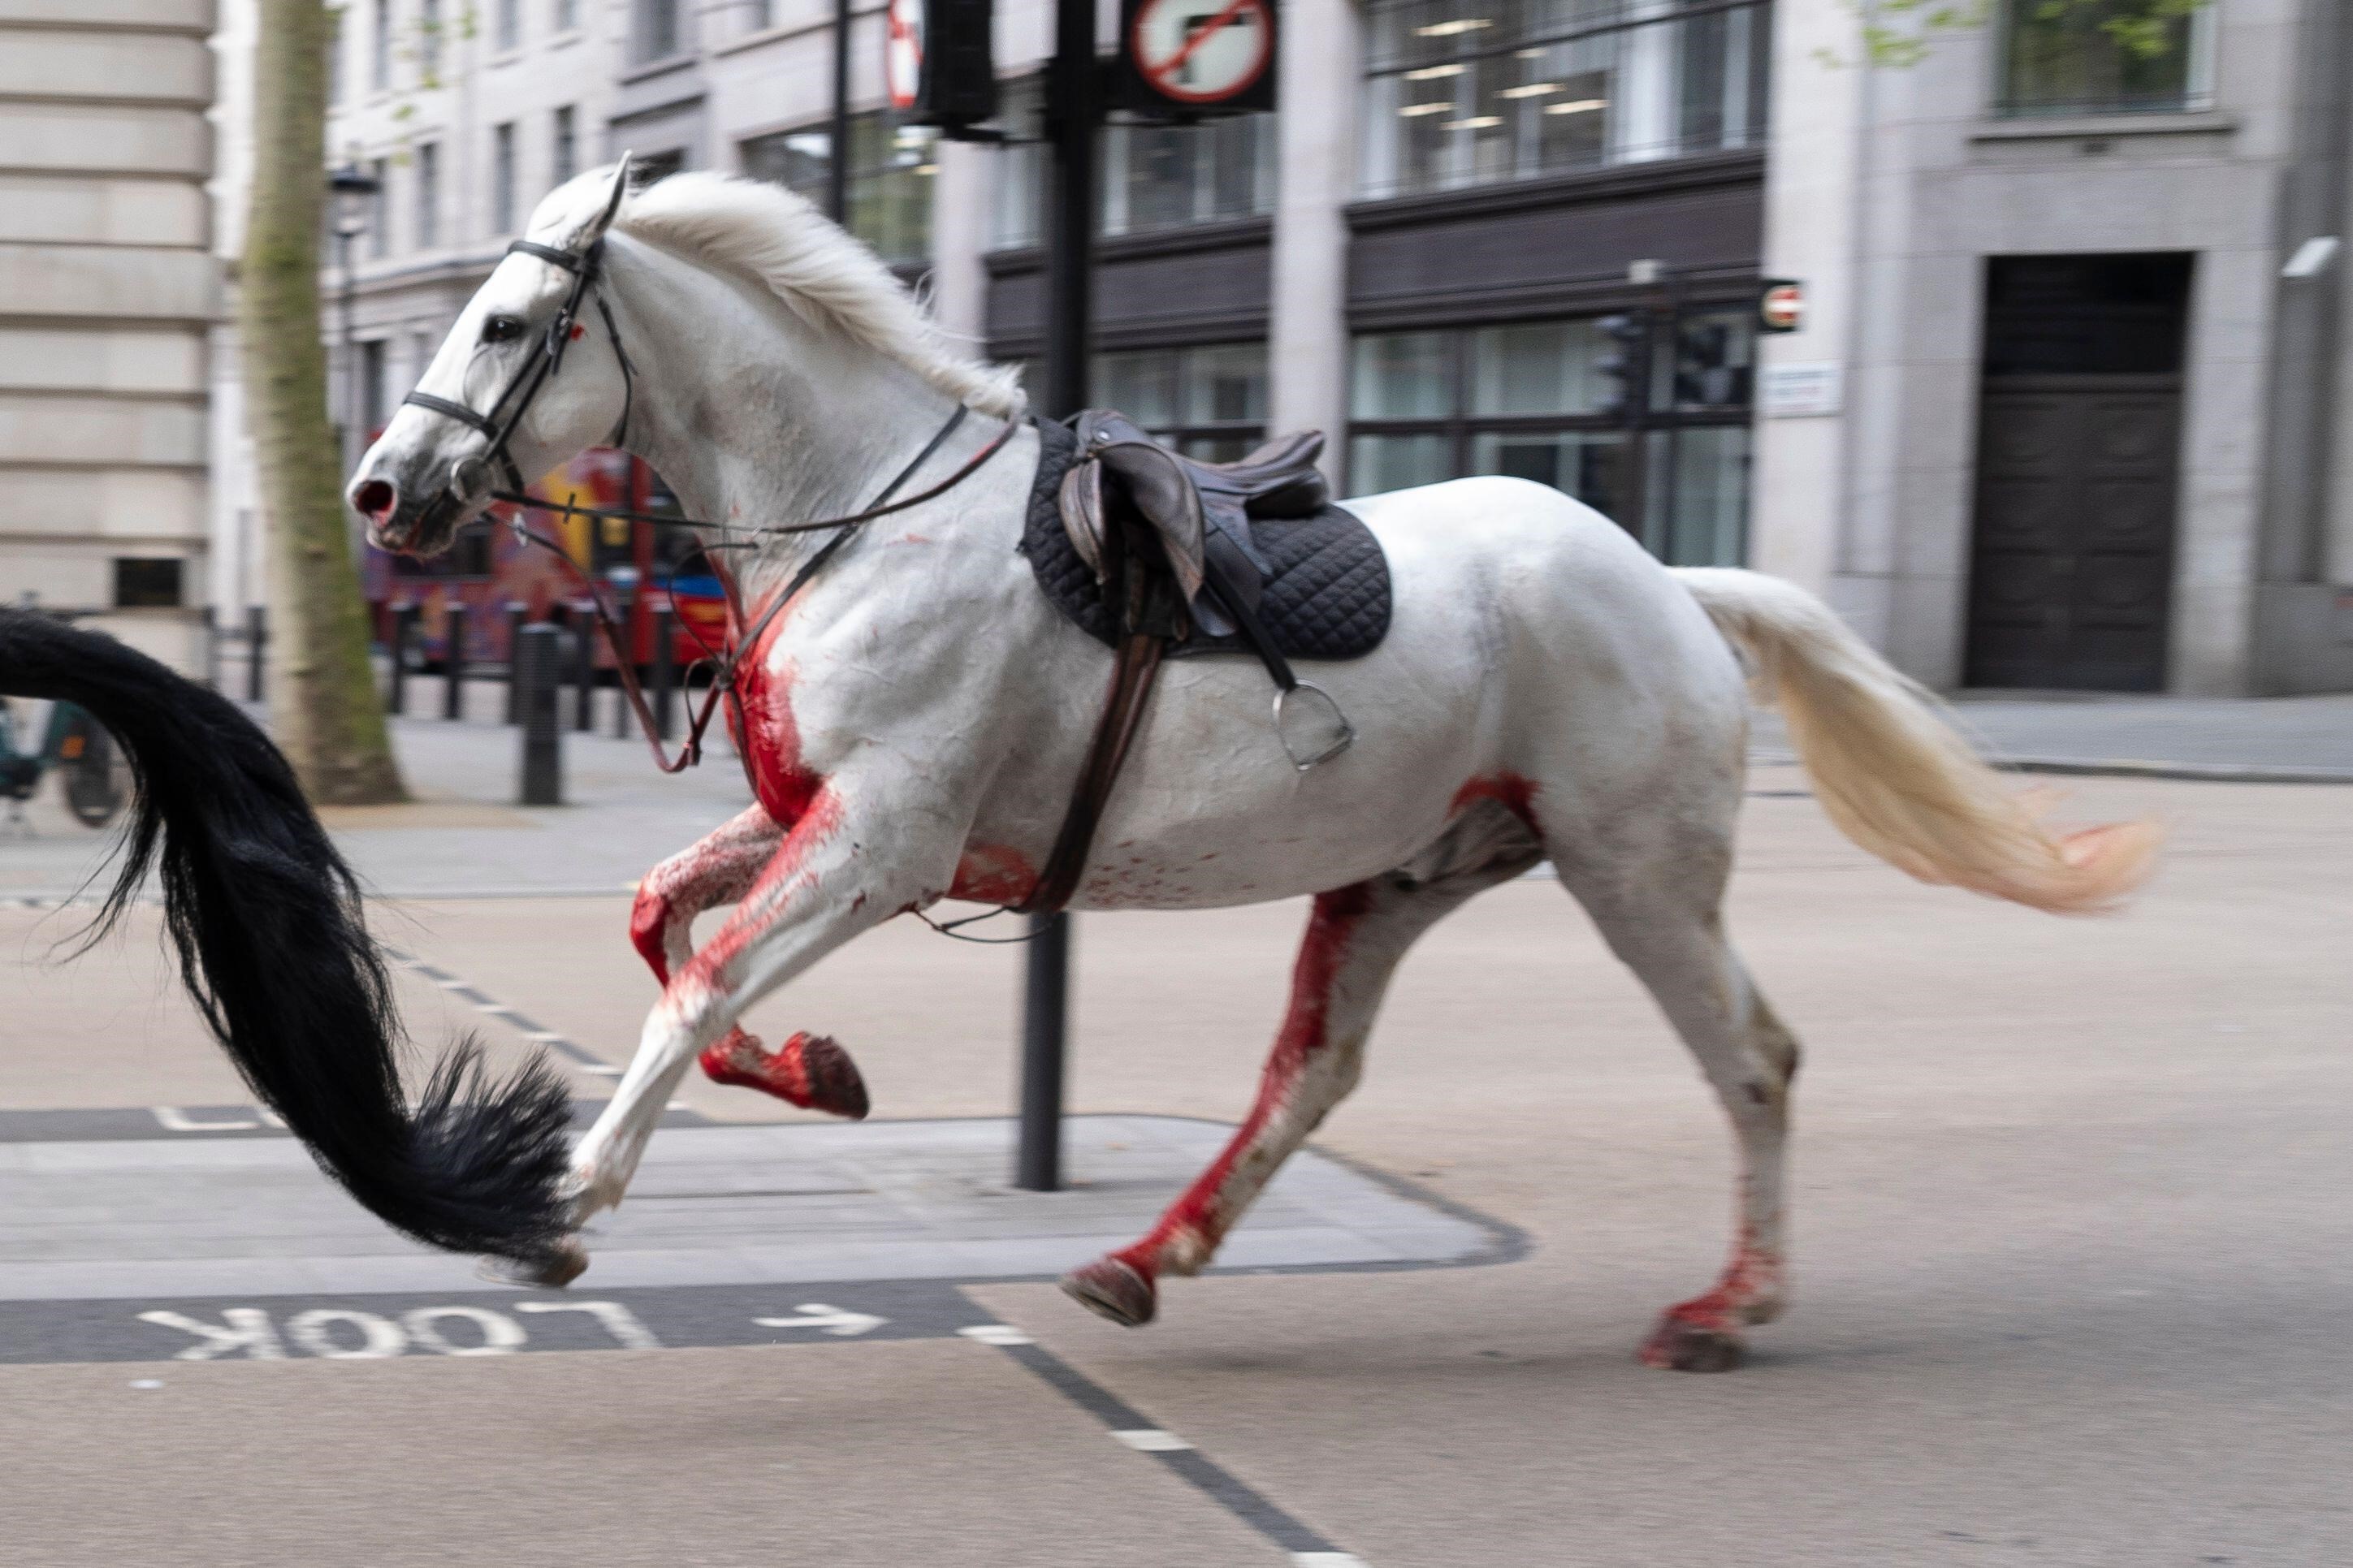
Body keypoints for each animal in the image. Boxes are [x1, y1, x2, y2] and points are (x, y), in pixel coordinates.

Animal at [343, 166, 2155, 1372]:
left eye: (507, 321)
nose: (377, 490)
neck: (862, 519)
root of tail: (1668, 581)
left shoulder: (881, 839)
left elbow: (700, 977)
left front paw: (569, 1200)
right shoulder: (818, 818)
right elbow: (663, 923)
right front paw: (817, 1068)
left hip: (1632, 869)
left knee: (1753, 1060)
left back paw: (1730, 1302)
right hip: (1402, 874)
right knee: (1312, 1072)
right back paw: (1152, 1256)